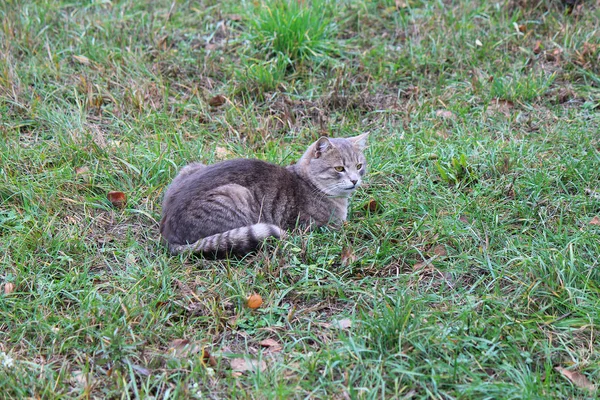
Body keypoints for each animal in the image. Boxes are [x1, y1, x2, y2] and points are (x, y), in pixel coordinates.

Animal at [159, 133, 366, 258]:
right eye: (339, 168)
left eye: (359, 166)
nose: (355, 180)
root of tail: (167, 234)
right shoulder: (317, 227)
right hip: (237, 196)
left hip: (191, 167)